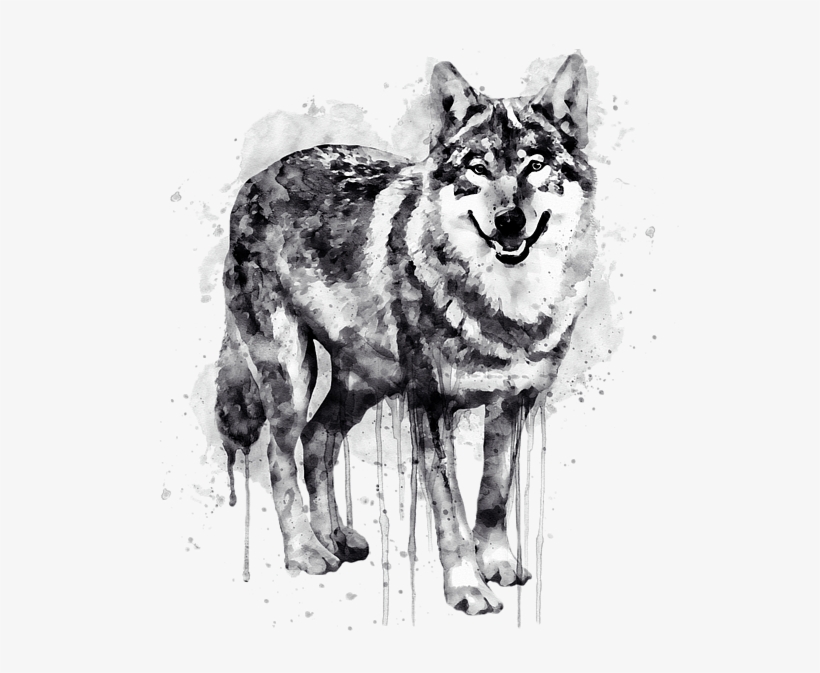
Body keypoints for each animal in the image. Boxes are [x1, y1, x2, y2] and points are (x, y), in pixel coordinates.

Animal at [215, 54, 597, 615]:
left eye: (534, 165)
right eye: (478, 168)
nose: (509, 221)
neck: (506, 307)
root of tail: (254, 180)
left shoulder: (513, 404)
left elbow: (493, 495)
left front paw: (498, 564)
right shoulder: (429, 405)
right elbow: (451, 512)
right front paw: (467, 589)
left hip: (366, 382)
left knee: (318, 438)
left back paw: (336, 537)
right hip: (293, 378)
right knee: (279, 455)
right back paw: (306, 552)